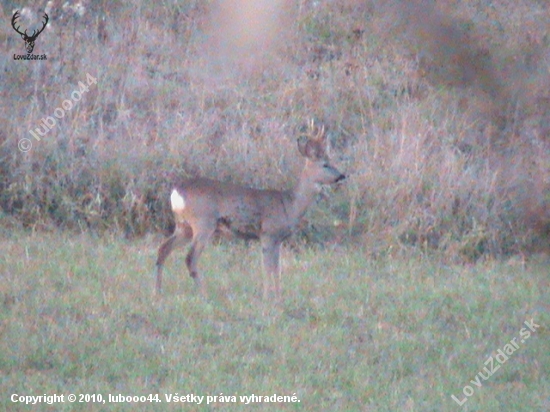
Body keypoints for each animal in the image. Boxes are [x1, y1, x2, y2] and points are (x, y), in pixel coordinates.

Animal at [155, 128, 344, 300]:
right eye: (325, 164)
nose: (342, 175)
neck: (290, 204)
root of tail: (176, 191)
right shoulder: (268, 233)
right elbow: (268, 268)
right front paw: (268, 298)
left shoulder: (278, 239)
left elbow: (277, 269)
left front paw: (278, 297)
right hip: (203, 222)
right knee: (190, 258)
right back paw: (203, 294)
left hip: (184, 225)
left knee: (163, 249)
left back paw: (157, 292)